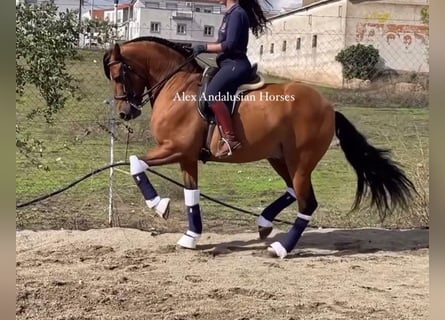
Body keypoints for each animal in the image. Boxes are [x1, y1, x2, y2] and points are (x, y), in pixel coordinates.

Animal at [102, 36, 414, 258]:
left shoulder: (175, 148)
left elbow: (135, 162)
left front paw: (160, 206)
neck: (176, 85)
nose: (125, 113)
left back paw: (281, 248)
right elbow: (192, 195)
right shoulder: (186, 157)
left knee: (307, 203)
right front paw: (190, 236)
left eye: (119, 76)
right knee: (292, 191)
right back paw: (264, 223)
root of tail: (328, 107)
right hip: (279, 158)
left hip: (301, 162)